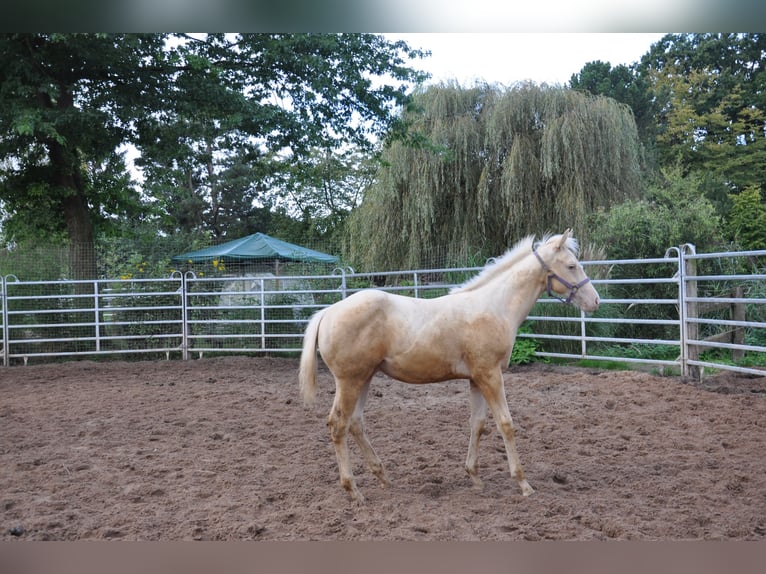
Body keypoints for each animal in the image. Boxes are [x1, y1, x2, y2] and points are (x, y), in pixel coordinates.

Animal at [299, 230, 599, 503]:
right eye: (571, 265)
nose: (595, 301)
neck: (494, 307)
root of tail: (328, 312)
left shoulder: (477, 378)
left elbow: (478, 424)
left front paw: (475, 477)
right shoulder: (491, 375)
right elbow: (506, 424)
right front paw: (523, 483)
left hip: (365, 377)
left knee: (355, 424)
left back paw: (383, 478)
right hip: (349, 381)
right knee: (338, 425)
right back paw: (354, 491)